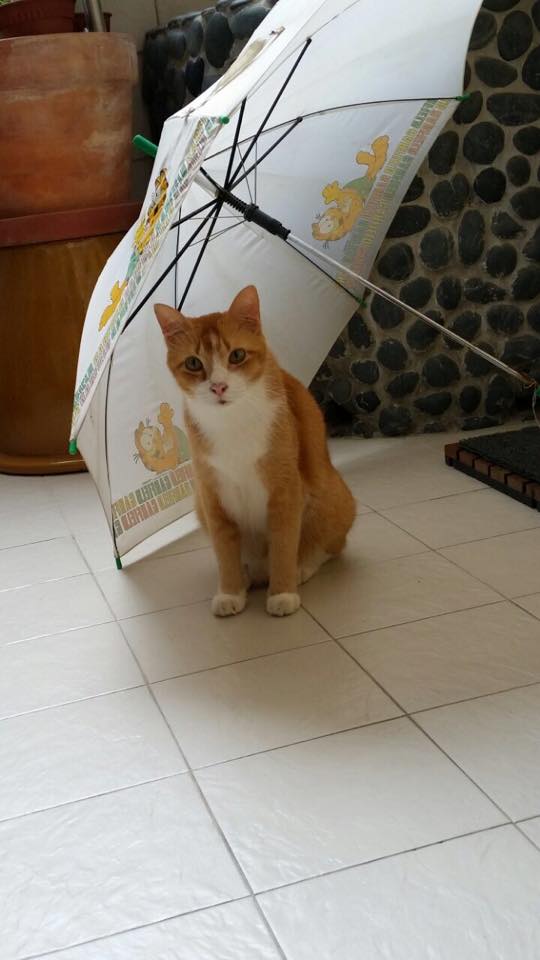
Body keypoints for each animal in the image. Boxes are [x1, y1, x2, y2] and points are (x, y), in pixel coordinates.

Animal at [155, 285, 356, 618]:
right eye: (194, 363)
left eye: (237, 355)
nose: (218, 387)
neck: (231, 423)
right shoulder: (212, 496)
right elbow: (225, 551)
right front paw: (230, 591)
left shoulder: (286, 488)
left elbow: (284, 543)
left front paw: (283, 592)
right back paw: (248, 575)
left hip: (335, 497)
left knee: (331, 545)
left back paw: (302, 567)